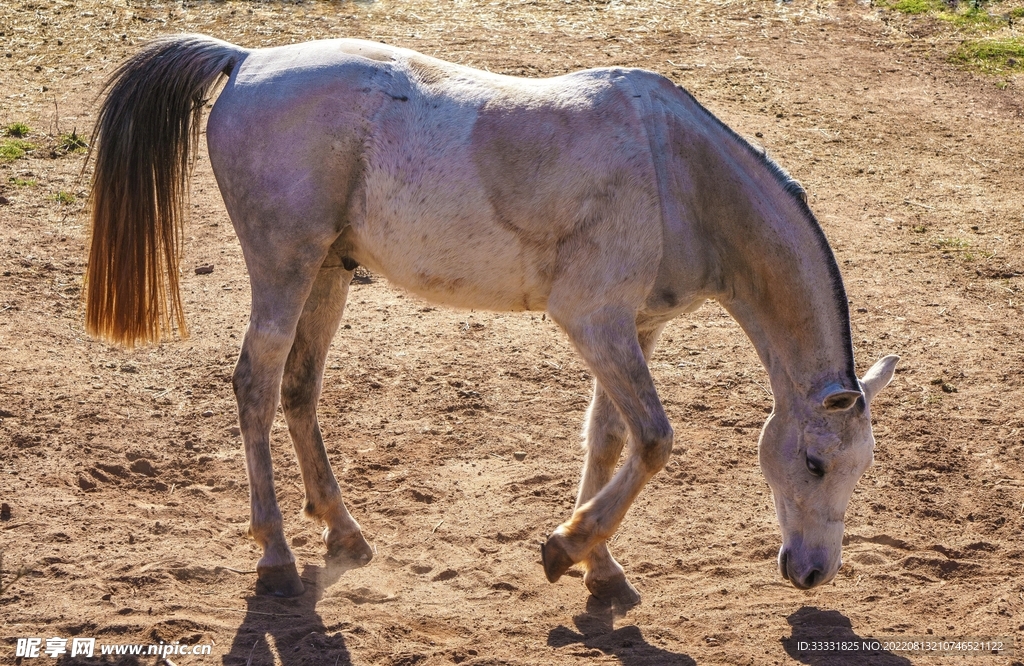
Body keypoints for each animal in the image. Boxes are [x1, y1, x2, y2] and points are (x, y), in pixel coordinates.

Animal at [86, 34, 899, 603]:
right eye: (816, 463)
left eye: (861, 468)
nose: (814, 573)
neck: (677, 175)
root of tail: (247, 59)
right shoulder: (593, 322)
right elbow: (655, 440)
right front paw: (566, 548)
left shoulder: (634, 329)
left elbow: (610, 439)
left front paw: (599, 567)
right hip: (283, 271)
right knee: (255, 385)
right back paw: (277, 557)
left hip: (327, 275)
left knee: (297, 390)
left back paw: (344, 532)